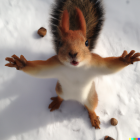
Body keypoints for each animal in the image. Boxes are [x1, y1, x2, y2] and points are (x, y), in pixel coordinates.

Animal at [4, 0, 140, 129]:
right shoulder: (54, 64)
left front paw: (127, 58)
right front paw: (20, 63)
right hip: (59, 89)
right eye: (60, 43)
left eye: (86, 42)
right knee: (61, 97)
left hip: (91, 97)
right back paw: (57, 101)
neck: (75, 68)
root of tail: (74, 98)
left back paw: (93, 118)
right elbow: (40, 70)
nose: (73, 53)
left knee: (91, 108)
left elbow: (109, 67)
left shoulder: (96, 63)